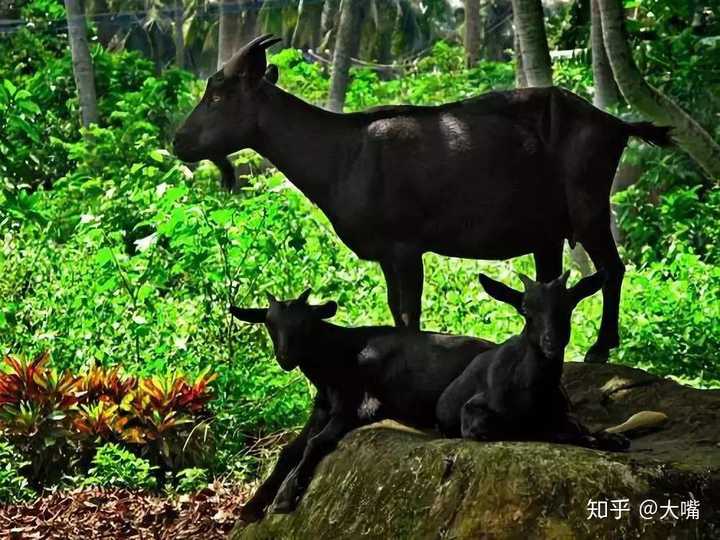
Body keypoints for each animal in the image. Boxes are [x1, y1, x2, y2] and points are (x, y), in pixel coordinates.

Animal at [174, 33, 676, 362]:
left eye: (217, 96)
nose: (179, 142)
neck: (344, 153)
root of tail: (617, 125)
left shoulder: (406, 246)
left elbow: (409, 312)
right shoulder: (385, 254)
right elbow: (395, 310)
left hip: (589, 207)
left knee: (612, 269)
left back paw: (600, 349)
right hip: (548, 232)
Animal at [229, 292, 496, 524]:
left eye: (306, 322)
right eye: (270, 323)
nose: (286, 357)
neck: (338, 356)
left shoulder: (356, 406)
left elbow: (316, 442)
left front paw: (285, 498)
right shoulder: (321, 409)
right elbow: (290, 450)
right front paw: (251, 507)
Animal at [434, 270, 632, 452]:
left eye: (569, 305)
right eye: (525, 309)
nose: (552, 341)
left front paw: (609, 438)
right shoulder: (473, 414)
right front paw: (587, 439)